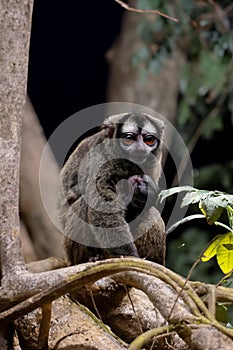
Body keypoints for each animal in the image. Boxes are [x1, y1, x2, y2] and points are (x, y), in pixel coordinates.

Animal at [58, 112, 167, 266]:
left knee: (152, 214)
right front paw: (130, 256)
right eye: (129, 138)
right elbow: (102, 208)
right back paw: (91, 258)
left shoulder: (154, 163)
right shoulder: (101, 160)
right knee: (83, 204)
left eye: (149, 140)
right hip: (70, 251)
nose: (141, 148)